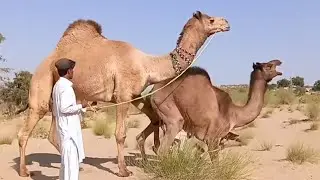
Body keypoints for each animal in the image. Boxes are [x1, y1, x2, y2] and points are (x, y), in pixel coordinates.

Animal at [17, 10, 230, 176]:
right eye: (211, 20)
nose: (226, 23)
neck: (147, 64)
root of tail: (42, 64)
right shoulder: (123, 96)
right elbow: (120, 134)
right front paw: (123, 170)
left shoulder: (135, 94)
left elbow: (155, 118)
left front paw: (153, 151)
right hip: (41, 87)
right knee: (24, 132)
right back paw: (24, 171)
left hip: (58, 101)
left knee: (52, 134)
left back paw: (75, 165)